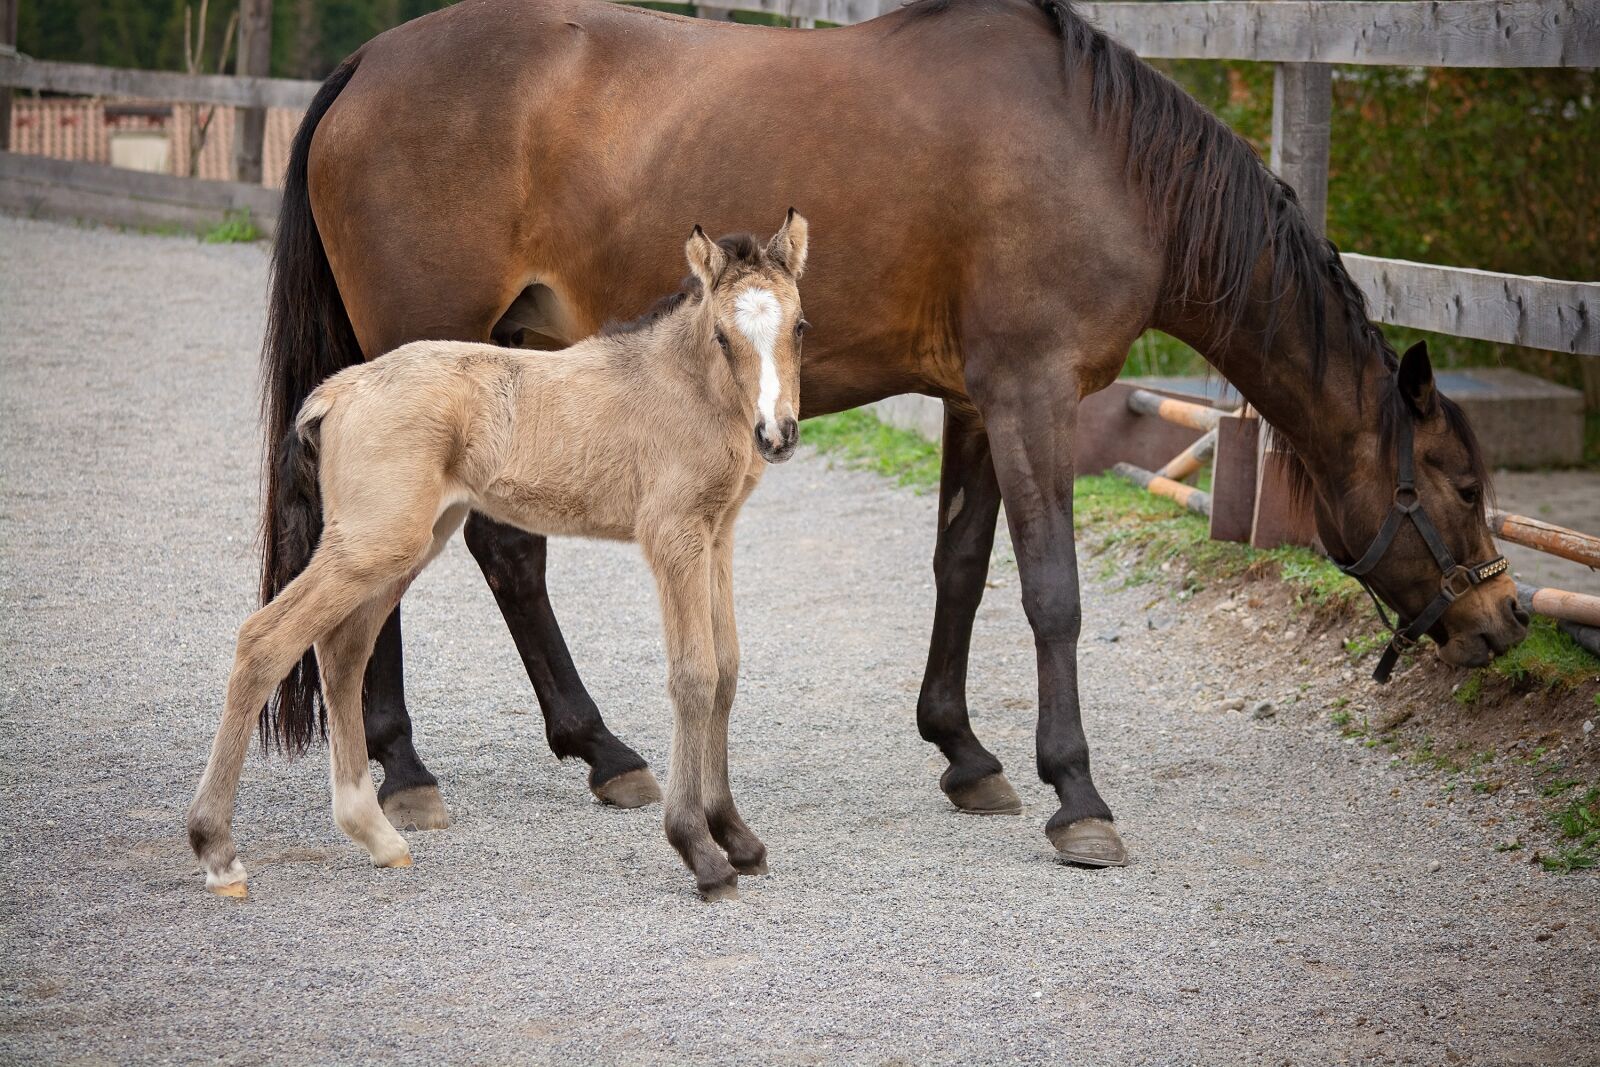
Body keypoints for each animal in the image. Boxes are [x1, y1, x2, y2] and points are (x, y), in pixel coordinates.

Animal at [191, 215, 810, 900]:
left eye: (800, 327)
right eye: (724, 336)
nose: (777, 434)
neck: (683, 387)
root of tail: (339, 390)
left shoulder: (717, 537)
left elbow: (726, 671)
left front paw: (738, 838)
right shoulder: (673, 538)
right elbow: (694, 677)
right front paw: (701, 852)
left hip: (404, 543)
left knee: (342, 650)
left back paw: (376, 834)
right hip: (373, 542)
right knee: (265, 641)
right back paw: (218, 852)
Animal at [258, 0, 1528, 870]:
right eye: (1461, 484)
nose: (1506, 618)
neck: (1099, 156)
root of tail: (369, 63)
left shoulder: (976, 399)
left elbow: (960, 566)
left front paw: (964, 752)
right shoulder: (1032, 395)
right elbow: (1051, 592)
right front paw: (1077, 793)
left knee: (501, 552)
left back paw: (601, 751)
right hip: (428, 371)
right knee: (393, 572)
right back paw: (408, 768)